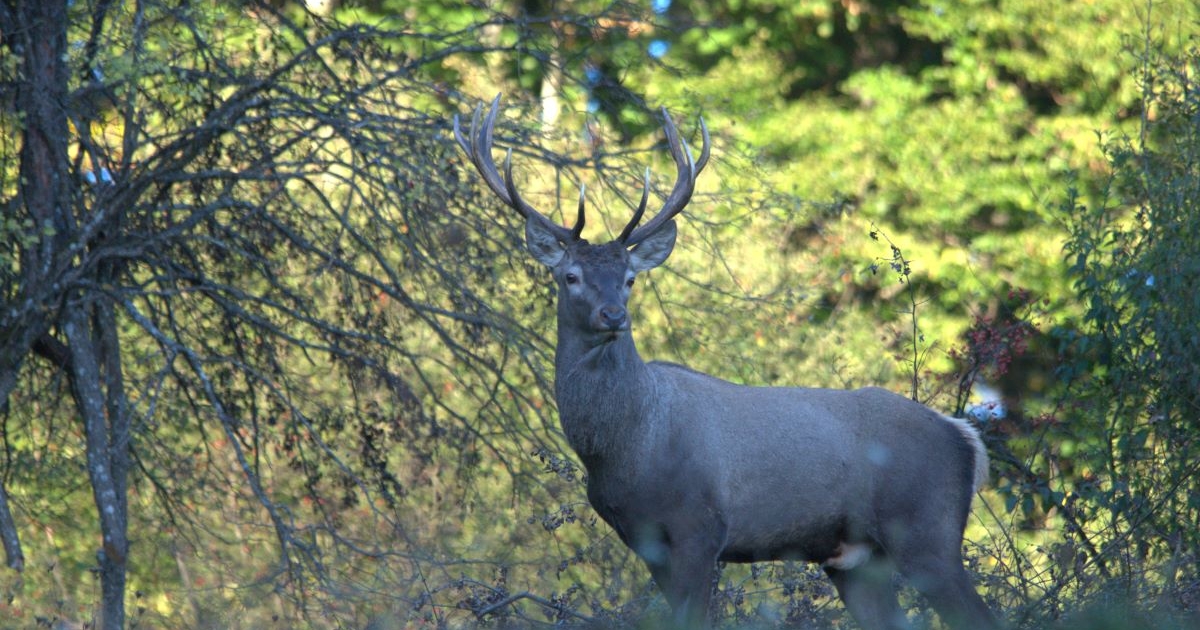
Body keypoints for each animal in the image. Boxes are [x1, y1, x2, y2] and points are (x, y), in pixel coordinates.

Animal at [453, 94, 998, 628]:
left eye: (630, 278)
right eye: (570, 276)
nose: (614, 315)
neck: (628, 446)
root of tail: (965, 436)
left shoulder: (700, 528)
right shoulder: (645, 543)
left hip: (927, 531)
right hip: (858, 560)